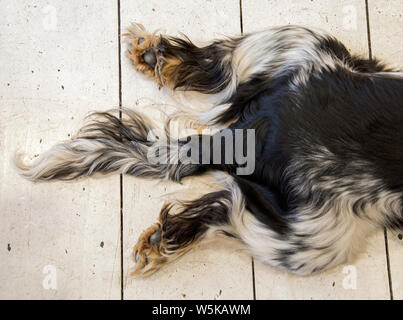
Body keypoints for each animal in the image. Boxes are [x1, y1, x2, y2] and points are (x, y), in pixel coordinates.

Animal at [14, 23, 402, 276]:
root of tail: (250, 138)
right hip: (314, 240)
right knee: (221, 210)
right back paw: (161, 241)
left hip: (296, 45)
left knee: (217, 64)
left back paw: (153, 54)